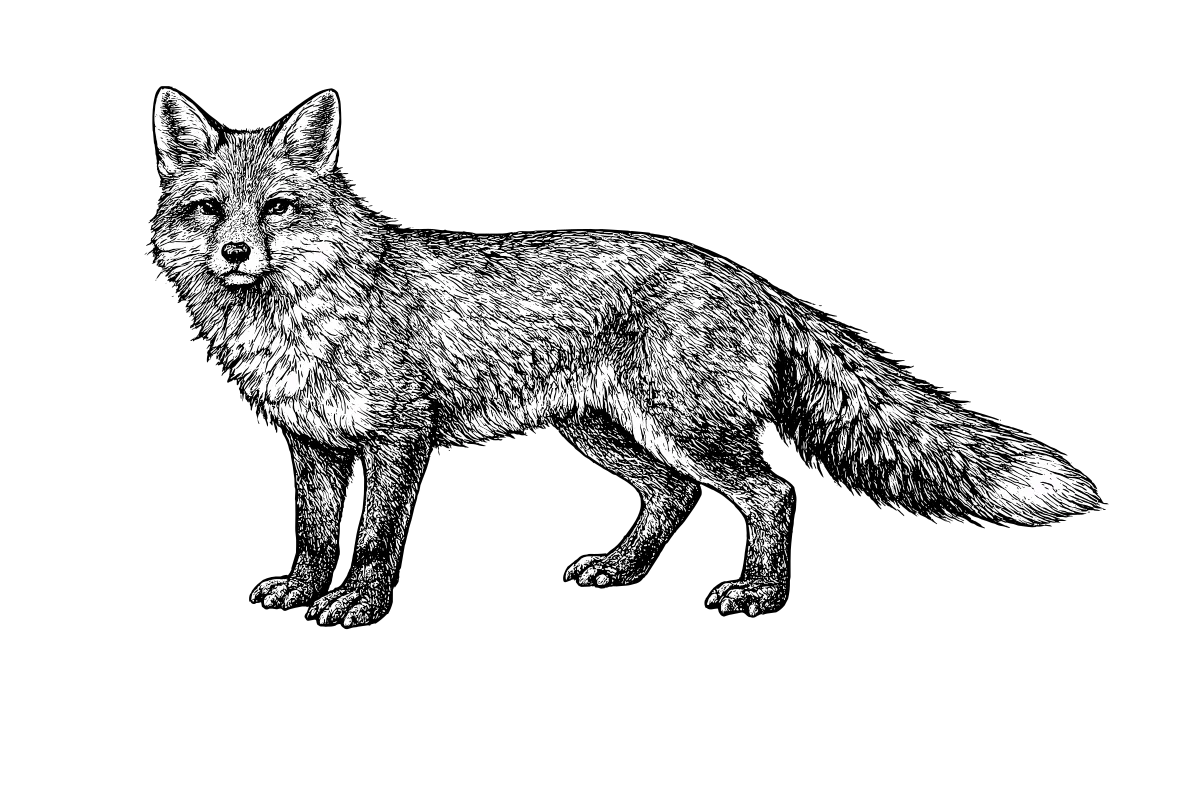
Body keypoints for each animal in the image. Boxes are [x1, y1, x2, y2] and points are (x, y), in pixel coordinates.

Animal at [152, 89, 1098, 623]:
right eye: (209, 208)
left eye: (277, 208)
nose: (234, 252)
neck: (305, 313)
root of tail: (744, 277)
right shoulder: (311, 442)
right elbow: (316, 534)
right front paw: (302, 587)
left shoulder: (399, 438)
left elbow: (374, 536)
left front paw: (359, 603)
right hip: (604, 433)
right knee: (674, 495)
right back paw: (620, 567)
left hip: (680, 428)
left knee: (769, 490)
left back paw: (760, 594)